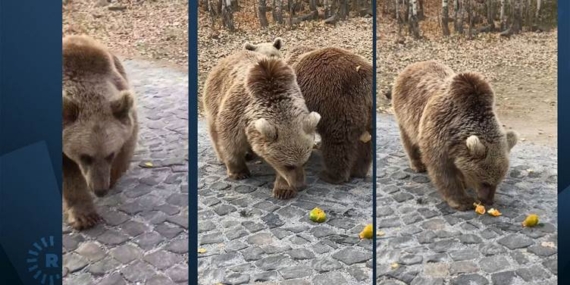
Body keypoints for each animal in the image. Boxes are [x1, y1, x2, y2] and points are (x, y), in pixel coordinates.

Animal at [203, 50, 320, 199]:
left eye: (304, 162)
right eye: (288, 165)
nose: (300, 186)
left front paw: (283, 190)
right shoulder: (237, 115)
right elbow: (230, 142)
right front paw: (239, 172)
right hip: (214, 97)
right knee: (214, 131)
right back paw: (223, 157)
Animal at [388, 60, 516, 210]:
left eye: (498, 181)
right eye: (485, 182)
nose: (488, 201)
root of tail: (415, 64)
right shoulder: (438, 133)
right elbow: (443, 171)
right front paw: (463, 201)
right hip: (406, 113)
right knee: (408, 139)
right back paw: (417, 164)